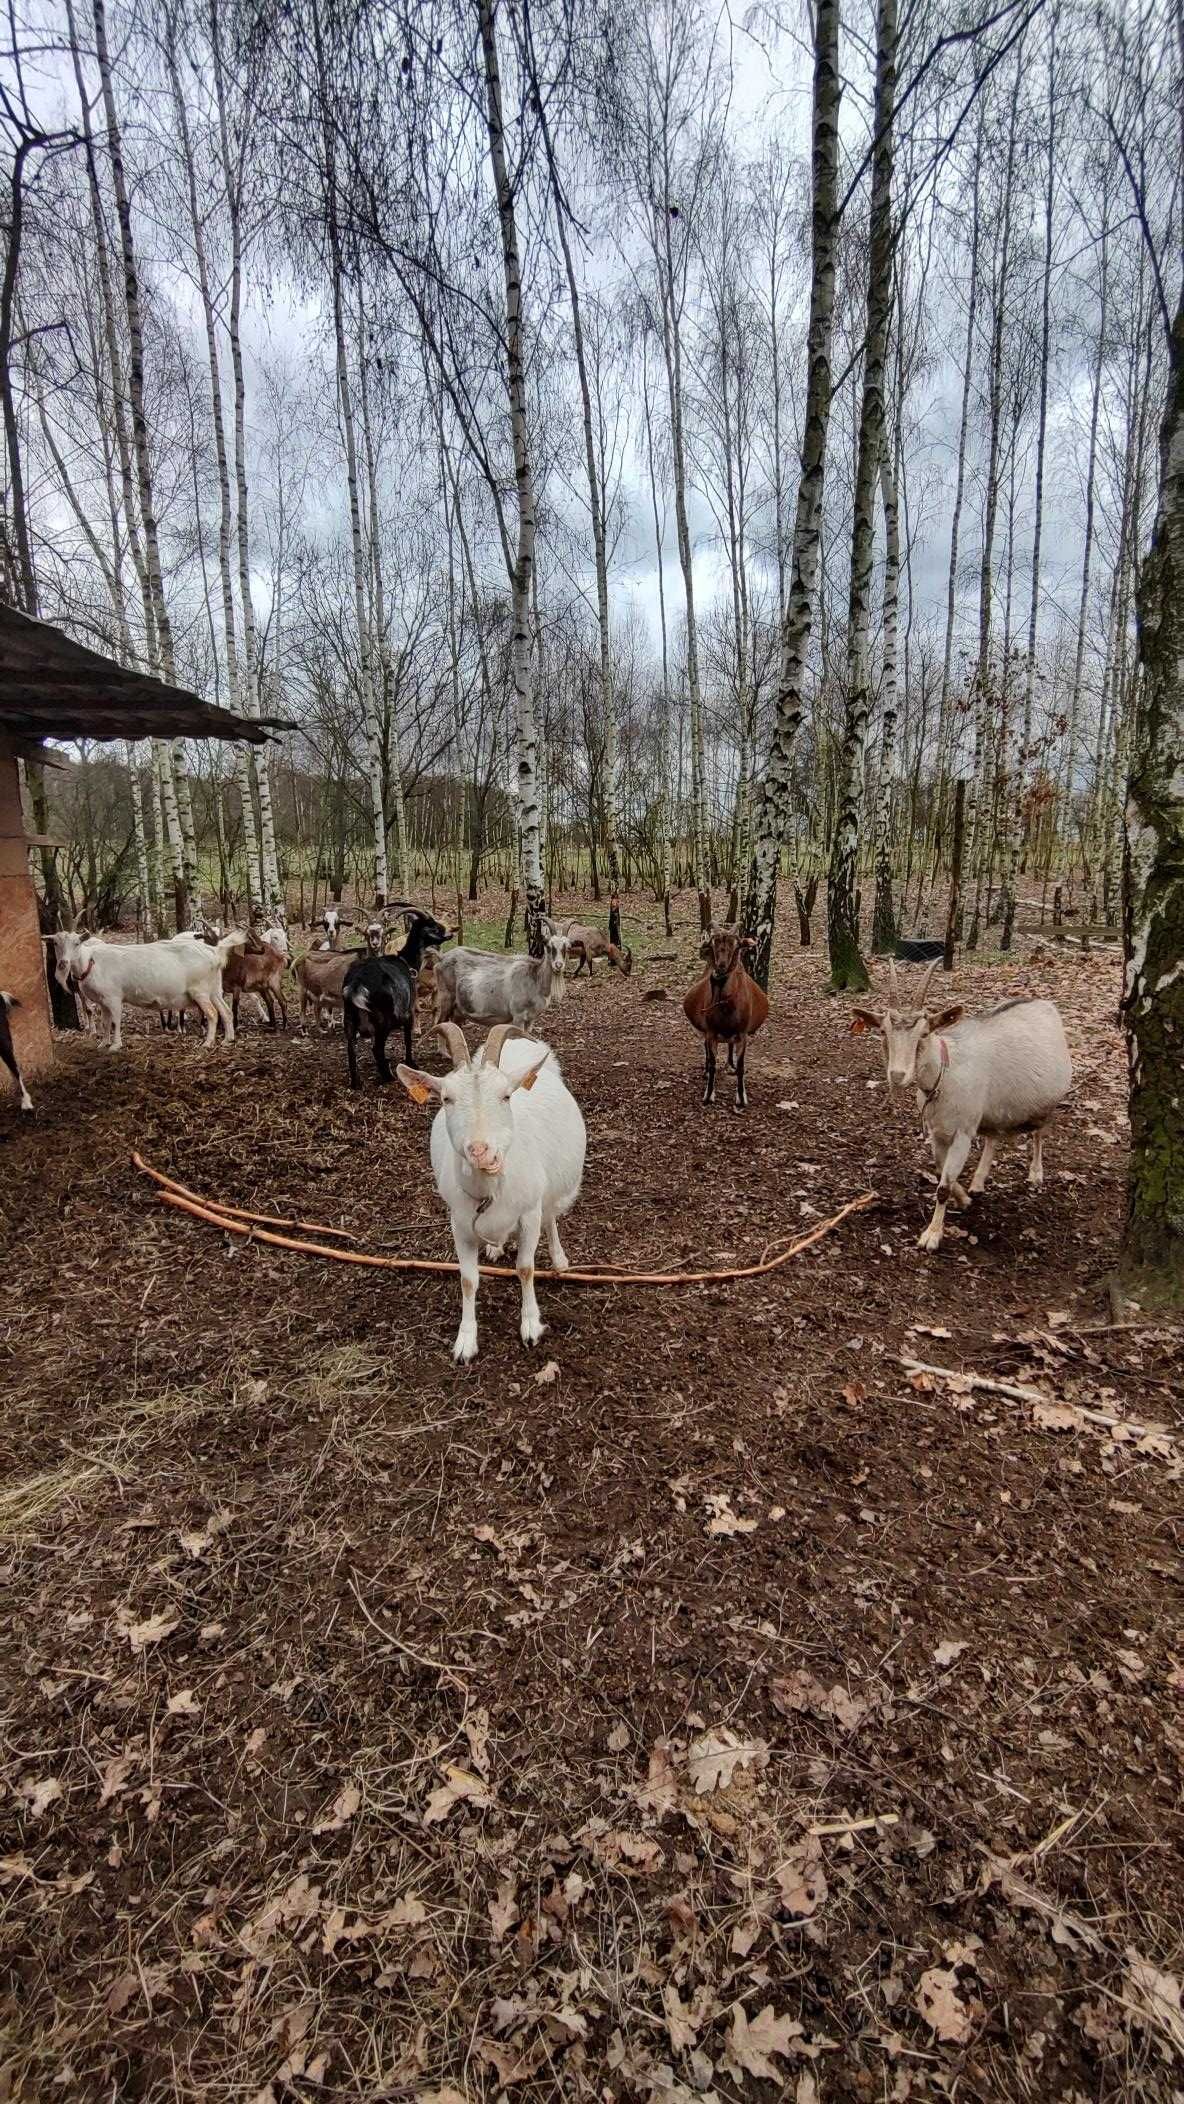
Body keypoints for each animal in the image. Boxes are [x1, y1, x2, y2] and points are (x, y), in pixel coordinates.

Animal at [50, 929, 246, 1052]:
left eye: (77, 943)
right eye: (55, 944)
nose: (63, 964)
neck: (91, 962)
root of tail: (214, 951)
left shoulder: (114, 998)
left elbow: (115, 1021)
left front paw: (115, 1046)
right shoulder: (103, 1001)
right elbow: (105, 1022)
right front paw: (103, 1044)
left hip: (200, 991)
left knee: (213, 1013)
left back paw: (208, 1043)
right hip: (214, 989)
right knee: (226, 1011)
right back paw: (228, 1040)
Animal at [346, 913, 454, 1094]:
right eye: (432, 925)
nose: (450, 932)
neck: (406, 961)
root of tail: (357, 983)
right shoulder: (408, 1012)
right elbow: (407, 1038)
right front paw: (411, 1063)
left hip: (349, 1019)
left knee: (350, 1048)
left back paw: (356, 1083)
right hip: (383, 1021)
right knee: (376, 1048)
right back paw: (388, 1076)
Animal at [397, 1018, 588, 1363]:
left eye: (506, 1096)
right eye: (446, 1099)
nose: (480, 1151)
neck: (492, 1188)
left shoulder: (529, 1213)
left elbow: (525, 1268)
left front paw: (530, 1326)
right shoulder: (459, 1223)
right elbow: (468, 1280)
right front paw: (465, 1341)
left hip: (552, 1188)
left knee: (551, 1215)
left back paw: (559, 1259)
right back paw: (496, 1248)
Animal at [685, 925, 769, 1110]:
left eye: (737, 945)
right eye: (712, 944)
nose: (720, 968)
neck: (727, 1008)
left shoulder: (743, 1034)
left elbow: (741, 1066)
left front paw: (741, 1098)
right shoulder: (710, 1032)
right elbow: (712, 1064)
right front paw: (708, 1095)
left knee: (730, 1045)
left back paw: (730, 1064)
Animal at [853, 963, 1076, 1253]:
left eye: (924, 1034)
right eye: (883, 1032)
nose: (897, 1075)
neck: (945, 1072)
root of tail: (1044, 1004)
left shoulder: (962, 1132)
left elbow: (942, 1187)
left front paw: (932, 1236)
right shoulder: (939, 1131)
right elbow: (940, 1170)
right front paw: (964, 1199)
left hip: (1046, 1101)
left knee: (1039, 1132)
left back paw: (1036, 1174)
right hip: (993, 1109)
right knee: (993, 1136)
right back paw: (978, 1183)